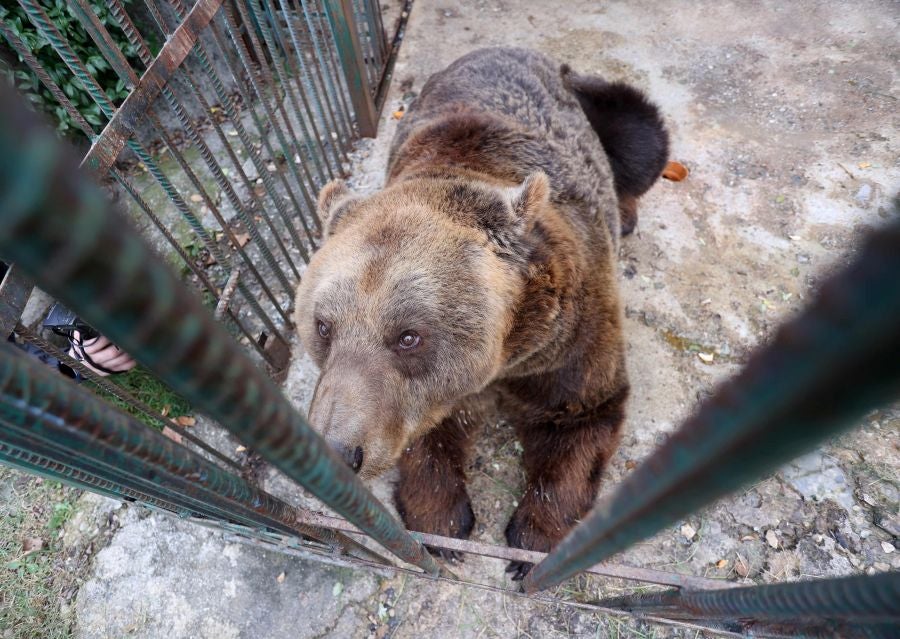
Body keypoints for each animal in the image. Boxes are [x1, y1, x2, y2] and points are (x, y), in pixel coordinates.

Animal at [294, 47, 668, 579]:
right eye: (323, 326)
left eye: (408, 335)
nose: (338, 450)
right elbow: (425, 435)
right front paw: (443, 524)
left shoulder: (568, 338)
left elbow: (581, 415)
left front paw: (530, 544)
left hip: (599, 109)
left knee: (639, 138)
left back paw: (629, 209)